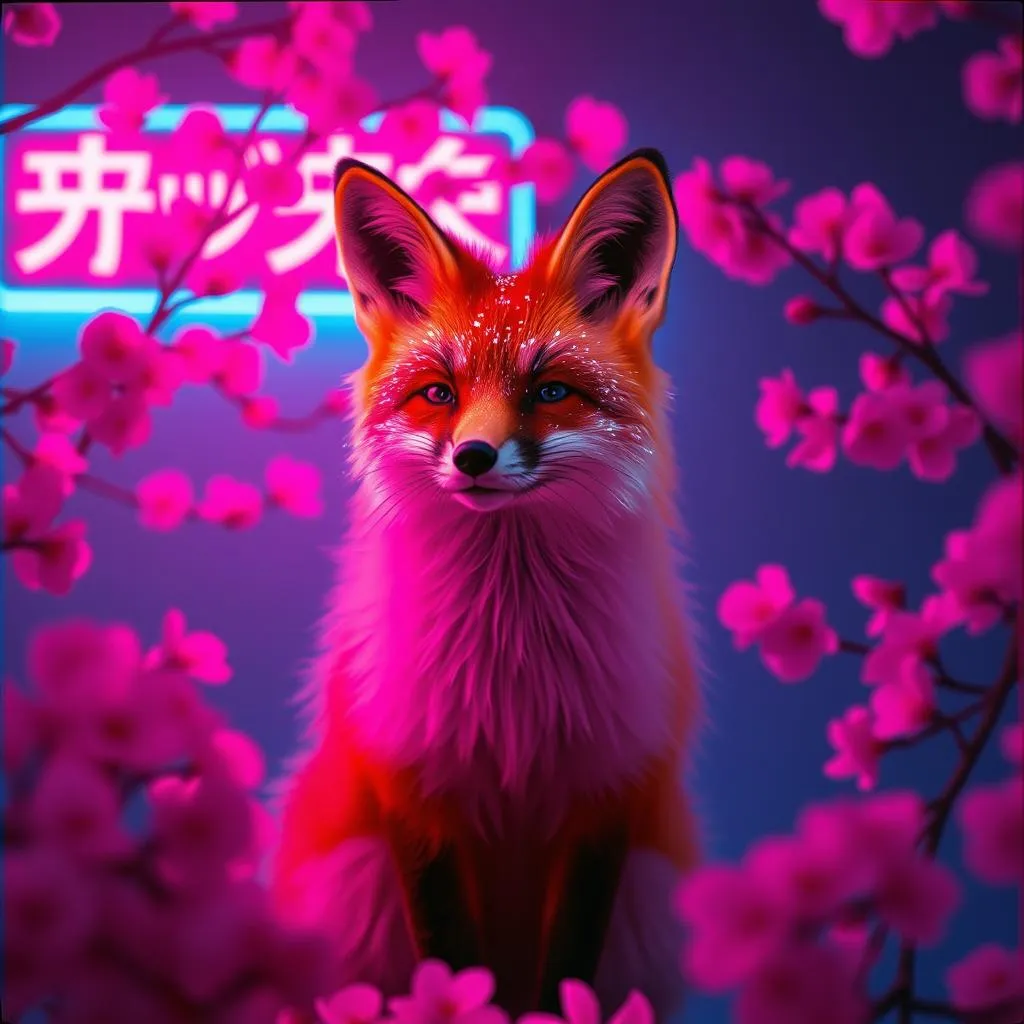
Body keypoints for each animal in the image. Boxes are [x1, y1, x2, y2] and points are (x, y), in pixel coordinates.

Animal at [270, 148, 702, 1021]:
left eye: (550, 391)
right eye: (439, 393)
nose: (473, 457)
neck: (514, 682)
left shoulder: (607, 795)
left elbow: (567, 972)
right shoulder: (414, 796)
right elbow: (449, 958)